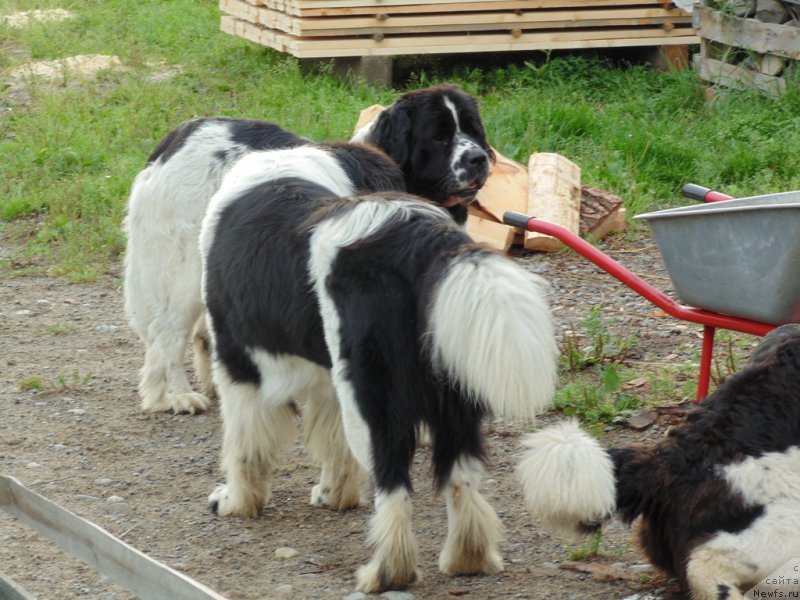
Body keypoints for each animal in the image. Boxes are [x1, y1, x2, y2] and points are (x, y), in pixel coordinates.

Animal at [123, 84, 494, 414]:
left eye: (473, 131)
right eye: (439, 137)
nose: (478, 158)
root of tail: (177, 137)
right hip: (182, 270)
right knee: (166, 332)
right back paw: (173, 396)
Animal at [197, 142, 556, 592]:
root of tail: (422, 240)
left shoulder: (238, 364)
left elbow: (244, 447)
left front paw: (235, 501)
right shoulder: (329, 380)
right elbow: (330, 444)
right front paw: (333, 495)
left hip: (374, 400)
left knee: (393, 483)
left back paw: (386, 571)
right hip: (450, 392)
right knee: (461, 475)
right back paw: (467, 558)